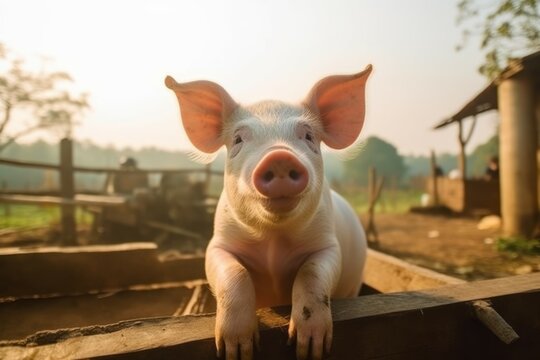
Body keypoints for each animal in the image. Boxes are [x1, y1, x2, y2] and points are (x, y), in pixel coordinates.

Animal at [166, 65, 372, 360]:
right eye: (238, 138)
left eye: (308, 136)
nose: (279, 157)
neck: (274, 240)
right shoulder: (217, 245)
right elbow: (234, 273)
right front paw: (236, 350)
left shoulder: (328, 246)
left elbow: (312, 272)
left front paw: (309, 349)